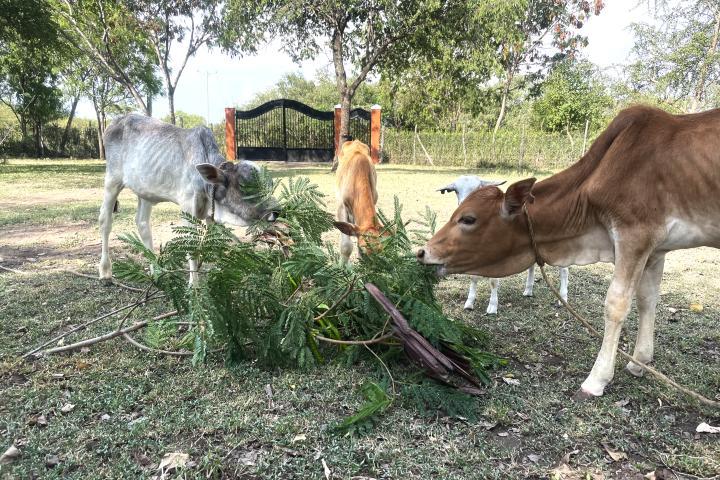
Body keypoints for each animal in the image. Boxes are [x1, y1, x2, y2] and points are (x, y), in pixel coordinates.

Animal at [98, 114, 279, 282]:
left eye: (270, 184)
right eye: (243, 185)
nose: (277, 211)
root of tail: (117, 121)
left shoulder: (211, 216)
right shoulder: (187, 208)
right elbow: (192, 248)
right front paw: (194, 286)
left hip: (145, 191)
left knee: (142, 223)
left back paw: (156, 270)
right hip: (112, 180)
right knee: (105, 221)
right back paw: (105, 272)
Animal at [438, 175, 570, 313]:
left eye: (478, 188)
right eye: (456, 191)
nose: (463, 209)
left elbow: (493, 281)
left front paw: (492, 307)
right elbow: (473, 277)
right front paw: (469, 303)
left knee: (564, 269)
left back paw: (563, 299)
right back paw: (528, 290)